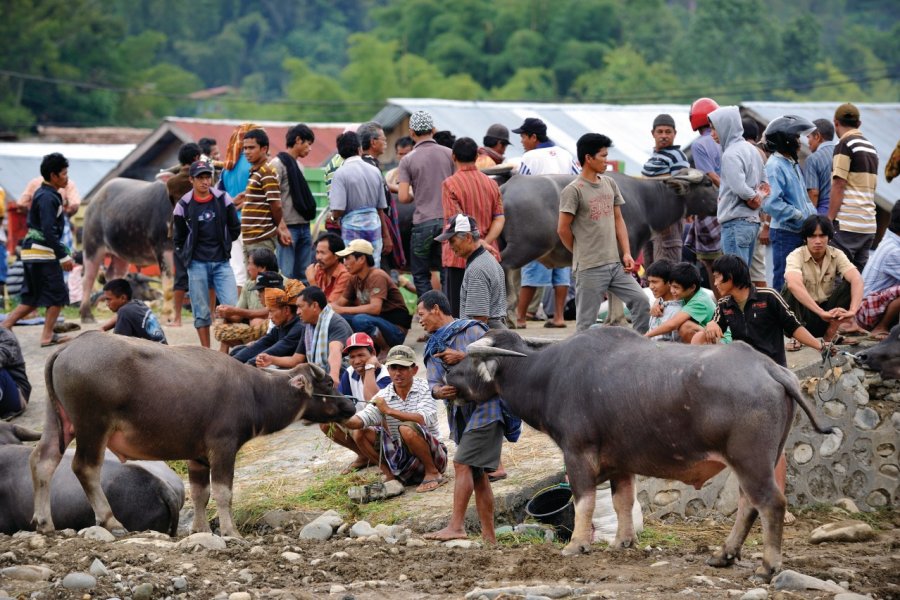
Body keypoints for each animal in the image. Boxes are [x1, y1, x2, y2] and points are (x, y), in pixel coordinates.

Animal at [31, 330, 356, 536]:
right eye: (328, 383)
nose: (350, 405)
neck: (254, 392)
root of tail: (67, 348)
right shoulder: (223, 447)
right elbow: (224, 492)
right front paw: (230, 532)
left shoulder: (197, 455)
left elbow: (201, 493)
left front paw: (200, 529)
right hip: (92, 425)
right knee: (85, 468)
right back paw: (110, 521)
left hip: (57, 419)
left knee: (42, 460)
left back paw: (44, 522)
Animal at [81, 177, 175, 322]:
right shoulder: (164, 248)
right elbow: (169, 287)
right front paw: (167, 316)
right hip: (92, 248)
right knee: (88, 279)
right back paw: (86, 315)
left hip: (120, 256)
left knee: (113, 276)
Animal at [446, 328, 832, 580]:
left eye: (466, 359)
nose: (446, 373)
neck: (548, 375)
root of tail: (770, 368)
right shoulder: (620, 463)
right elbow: (622, 501)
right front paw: (622, 541)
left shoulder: (576, 453)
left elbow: (583, 501)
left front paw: (576, 545)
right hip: (756, 461)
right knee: (748, 504)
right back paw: (724, 555)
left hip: (751, 461)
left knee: (770, 503)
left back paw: (767, 567)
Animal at [500, 168, 716, 268]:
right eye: (707, 183)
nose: (719, 199)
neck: (645, 200)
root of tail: (505, 188)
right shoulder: (622, 254)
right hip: (524, 247)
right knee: (504, 267)